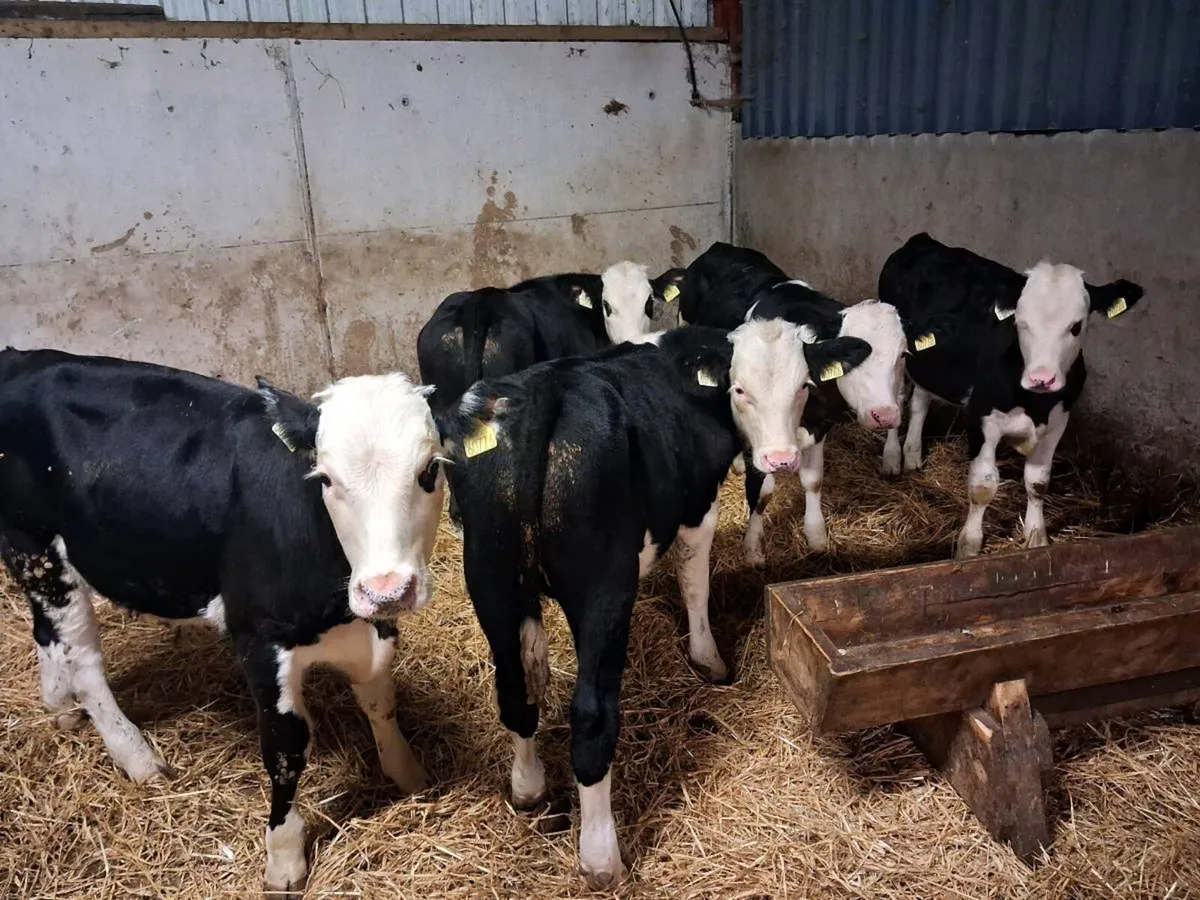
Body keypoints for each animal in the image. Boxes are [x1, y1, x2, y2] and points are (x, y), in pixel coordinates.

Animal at [0, 348, 447, 893]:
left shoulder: (372, 628)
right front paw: (284, 858)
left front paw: (409, 776)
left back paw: (60, 708)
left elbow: (380, 700)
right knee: (84, 663)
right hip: (37, 547)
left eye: (430, 470)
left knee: (47, 632)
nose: (387, 589)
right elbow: (285, 746)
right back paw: (137, 758)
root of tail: (21, 358)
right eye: (325, 478)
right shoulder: (258, 638)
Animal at [435, 320, 871, 889]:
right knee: (592, 715)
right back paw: (601, 859)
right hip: (602, 586)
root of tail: (545, 396)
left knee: (513, 688)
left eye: (802, 386)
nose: (781, 459)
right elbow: (694, 581)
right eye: (739, 389)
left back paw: (528, 787)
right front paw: (709, 659)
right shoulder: (698, 505)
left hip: (489, 576)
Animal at [676, 241, 908, 563]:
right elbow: (761, 492)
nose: (884, 415)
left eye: (902, 355)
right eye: (740, 390)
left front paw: (816, 535)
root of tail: (722, 246)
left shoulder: (821, 424)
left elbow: (813, 480)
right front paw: (753, 549)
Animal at [878, 232, 1144, 557]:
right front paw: (969, 547)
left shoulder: (1059, 420)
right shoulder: (982, 417)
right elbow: (983, 486)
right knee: (897, 401)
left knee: (920, 402)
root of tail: (924, 240)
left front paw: (1036, 538)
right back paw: (892, 459)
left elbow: (1038, 482)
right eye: (1021, 322)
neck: (1035, 403)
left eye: (1076, 326)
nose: (1042, 378)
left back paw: (913, 455)